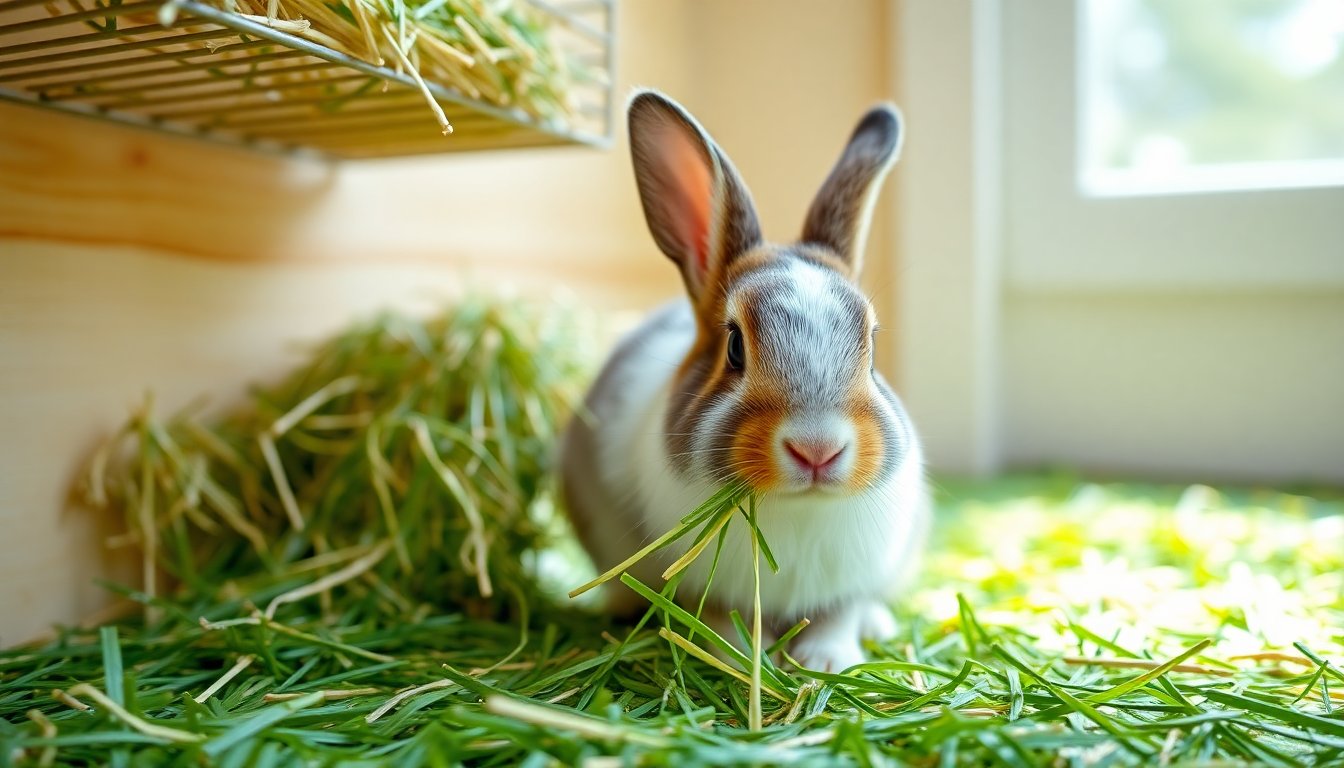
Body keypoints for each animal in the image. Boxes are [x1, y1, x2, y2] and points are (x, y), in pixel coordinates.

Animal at [560, 89, 929, 673]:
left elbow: (840, 614)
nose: (818, 450)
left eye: (872, 344)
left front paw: (825, 662)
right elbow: (717, 623)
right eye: (735, 347)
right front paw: (744, 661)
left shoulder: (851, 582)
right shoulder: (703, 591)